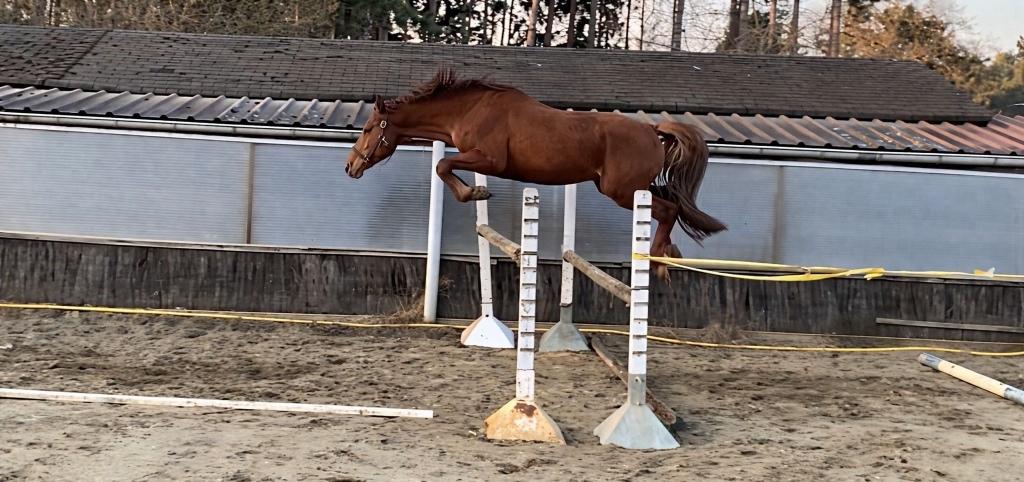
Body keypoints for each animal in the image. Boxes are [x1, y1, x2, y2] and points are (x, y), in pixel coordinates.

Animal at [345, 68, 726, 280]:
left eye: (366, 129)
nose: (350, 166)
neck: (470, 109)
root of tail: (651, 129)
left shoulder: (489, 160)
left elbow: (443, 166)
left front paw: (475, 193)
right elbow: (445, 167)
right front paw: (476, 193)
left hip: (622, 192)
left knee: (670, 210)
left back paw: (660, 261)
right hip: (632, 188)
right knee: (672, 206)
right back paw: (670, 253)